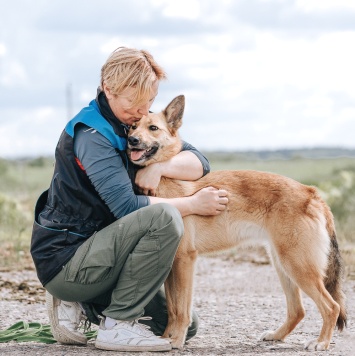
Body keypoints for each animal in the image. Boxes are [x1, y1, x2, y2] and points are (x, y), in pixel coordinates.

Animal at [128, 94, 348, 350]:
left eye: (153, 128)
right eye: (133, 126)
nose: (132, 140)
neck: (164, 177)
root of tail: (311, 193)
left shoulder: (184, 262)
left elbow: (181, 310)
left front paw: (176, 340)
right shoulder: (173, 266)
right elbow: (173, 309)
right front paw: (166, 338)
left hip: (297, 266)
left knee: (331, 306)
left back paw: (321, 343)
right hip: (284, 265)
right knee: (298, 311)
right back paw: (277, 335)